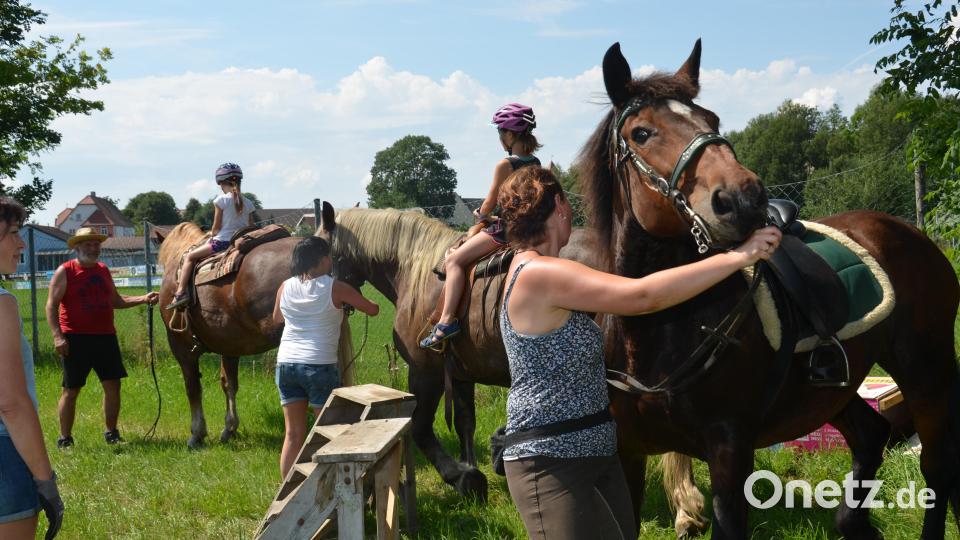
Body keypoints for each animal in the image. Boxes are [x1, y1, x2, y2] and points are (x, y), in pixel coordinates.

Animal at [155, 222, 354, 448]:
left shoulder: (182, 348)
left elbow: (193, 388)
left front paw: (197, 433)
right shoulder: (229, 346)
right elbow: (229, 384)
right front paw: (229, 428)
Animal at [577, 40, 960, 539]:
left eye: (712, 119)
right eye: (641, 133)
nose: (743, 198)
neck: (656, 331)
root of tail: (911, 233)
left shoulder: (730, 453)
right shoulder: (627, 454)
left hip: (925, 368)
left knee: (937, 466)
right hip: (832, 390)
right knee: (872, 436)